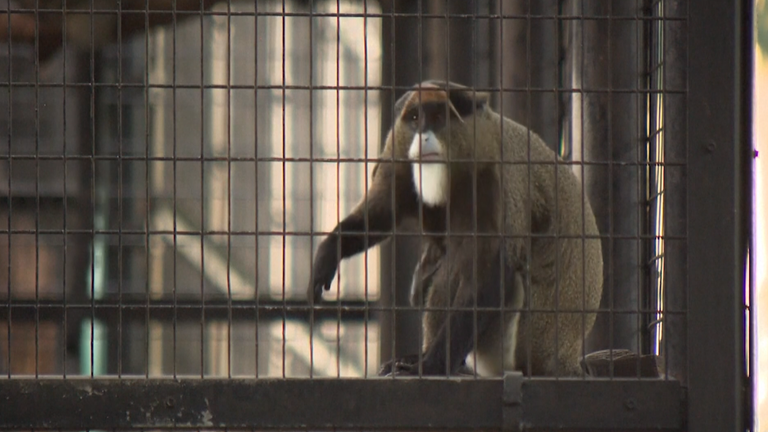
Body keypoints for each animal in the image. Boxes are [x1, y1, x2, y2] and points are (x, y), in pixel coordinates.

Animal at [308, 81, 608, 378]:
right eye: (415, 118)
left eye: (439, 117)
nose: (423, 136)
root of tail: (562, 359)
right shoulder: (399, 150)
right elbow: (382, 212)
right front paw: (328, 253)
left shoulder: (495, 179)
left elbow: (492, 273)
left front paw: (432, 365)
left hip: (509, 345)